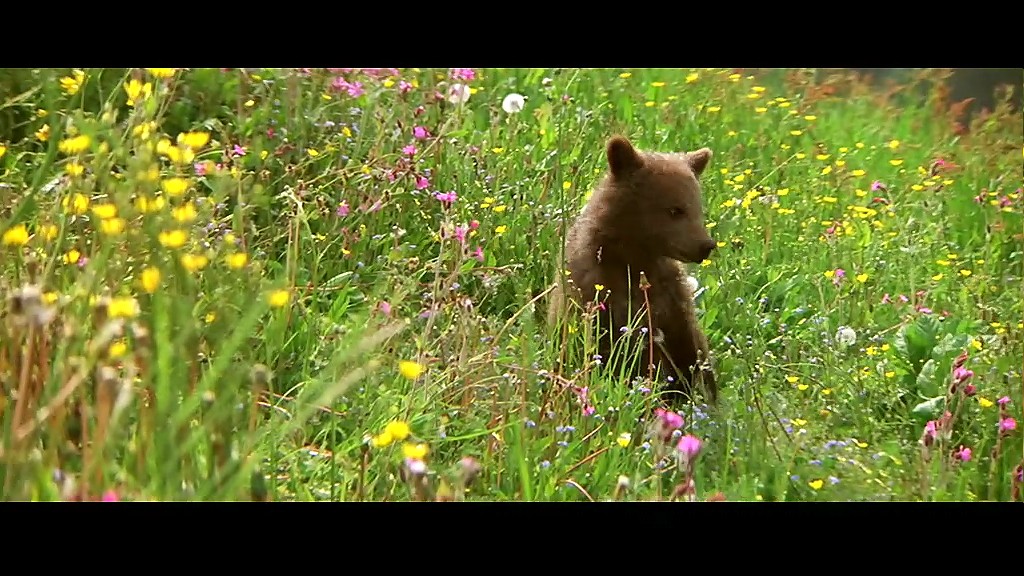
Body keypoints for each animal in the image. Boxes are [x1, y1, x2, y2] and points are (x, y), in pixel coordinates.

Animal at [548, 135, 718, 406]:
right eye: (675, 210)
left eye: (698, 209)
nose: (705, 245)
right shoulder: (594, 292)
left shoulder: (671, 299)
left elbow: (689, 350)